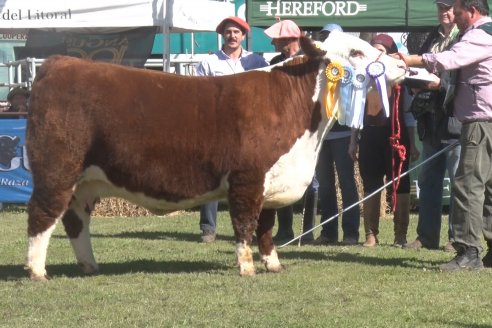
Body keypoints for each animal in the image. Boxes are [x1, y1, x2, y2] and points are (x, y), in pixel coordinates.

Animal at [25, 32, 406, 280]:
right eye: (356, 52)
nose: (400, 65)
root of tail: (58, 63)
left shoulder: (271, 181)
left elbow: (266, 228)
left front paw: (273, 264)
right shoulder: (247, 179)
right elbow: (245, 224)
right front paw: (247, 267)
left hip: (85, 181)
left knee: (75, 220)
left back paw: (89, 266)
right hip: (57, 169)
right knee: (42, 215)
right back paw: (37, 271)